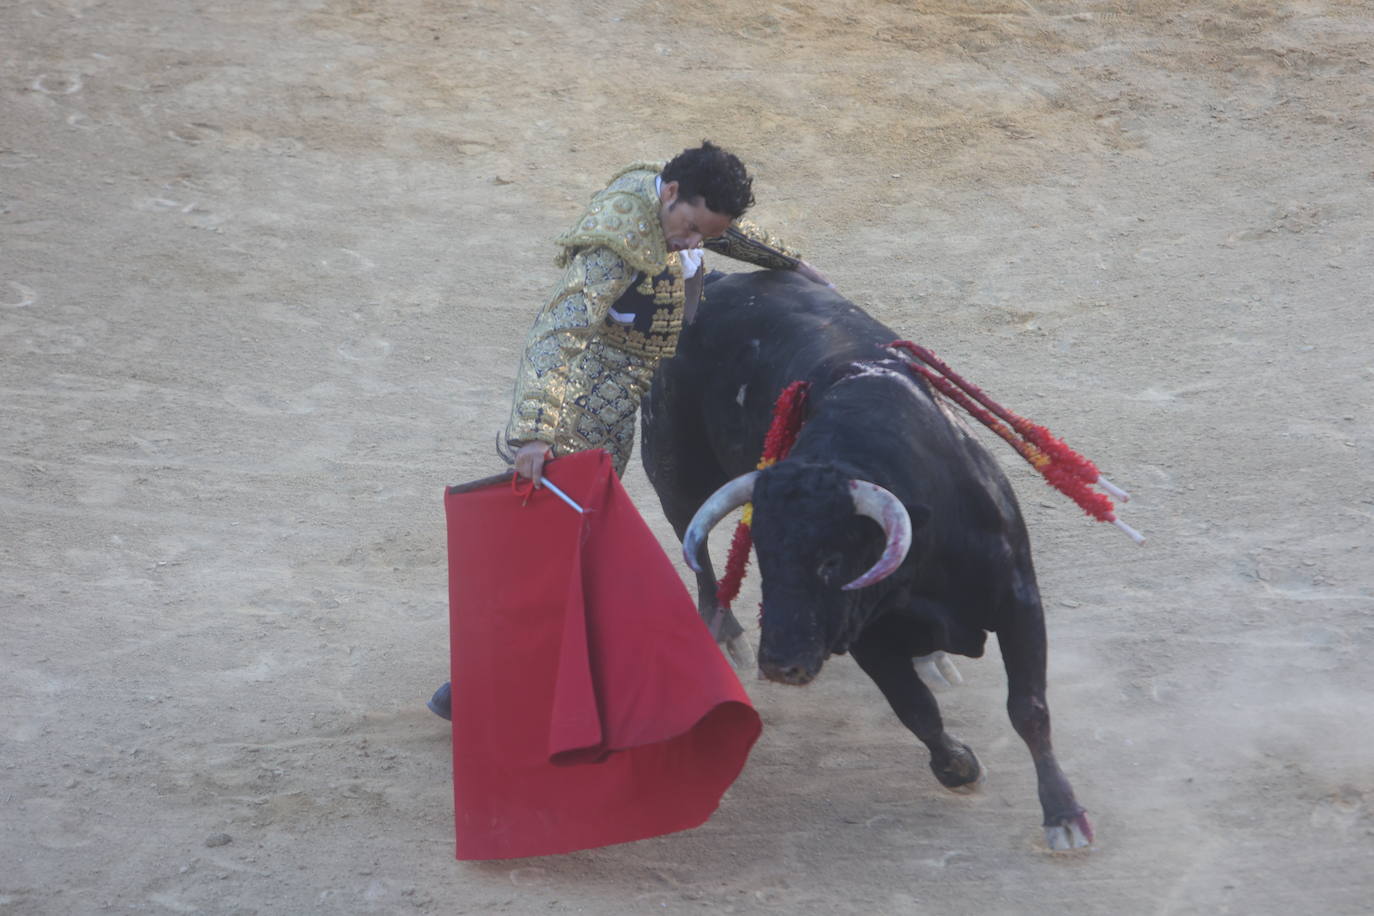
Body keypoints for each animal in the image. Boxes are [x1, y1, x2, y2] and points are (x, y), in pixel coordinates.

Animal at [640, 269, 1093, 851]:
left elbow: (1029, 709)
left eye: (832, 562)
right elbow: (915, 709)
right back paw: (726, 633)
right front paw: (960, 767)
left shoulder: (1018, 597)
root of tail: (716, 279)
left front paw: (1064, 815)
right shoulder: (866, 635)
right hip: (675, 470)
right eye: (765, 558)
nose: (780, 664)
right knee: (692, 542)